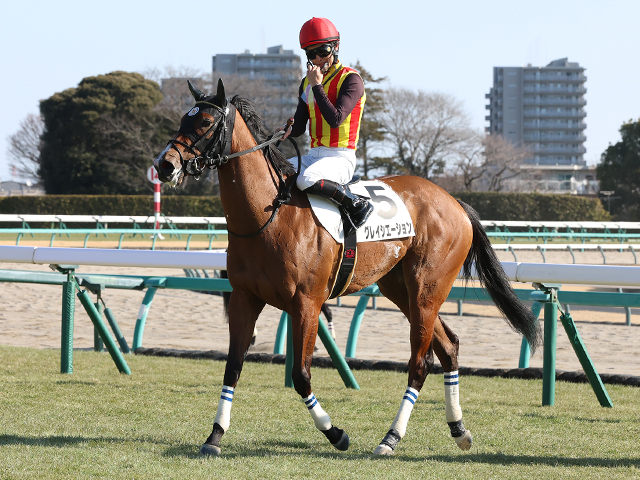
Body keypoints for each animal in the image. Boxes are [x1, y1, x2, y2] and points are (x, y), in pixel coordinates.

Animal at [154, 79, 540, 456]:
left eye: (205, 122)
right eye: (182, 119)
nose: (164, 165)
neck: (268, 217)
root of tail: (455, 202)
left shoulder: (307, 304)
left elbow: (301, 375)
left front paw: (335, 434)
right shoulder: (244, 298)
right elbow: (232, 367)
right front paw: (215, 436)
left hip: (427, 289)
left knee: (420, 362)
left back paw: (391, 437)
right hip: (398, 288)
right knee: (448, 346)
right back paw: (458, 429)